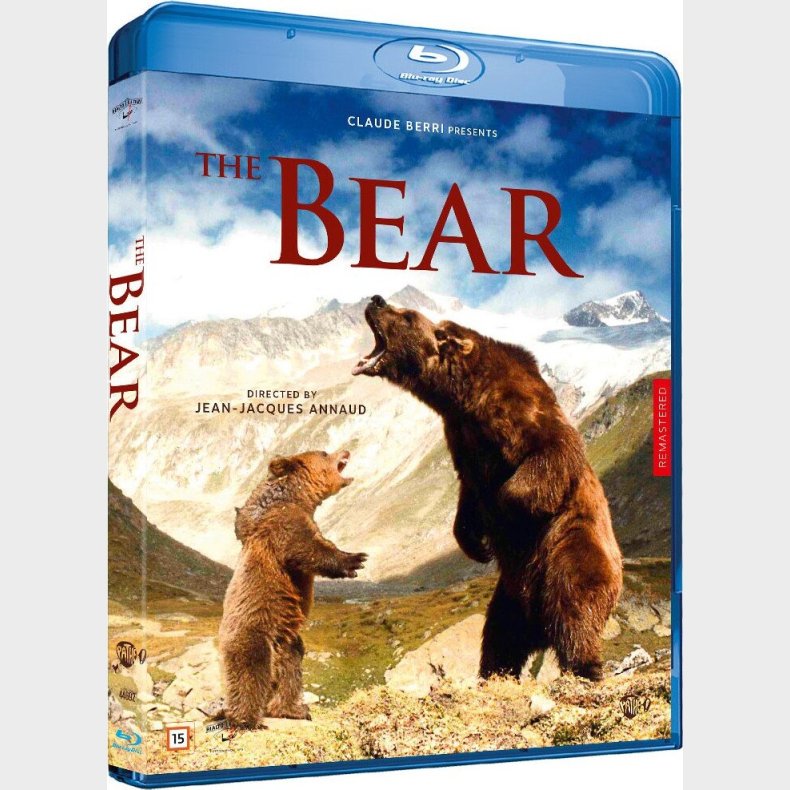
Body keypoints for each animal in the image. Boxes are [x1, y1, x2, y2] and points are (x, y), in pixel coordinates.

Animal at [219, 449, 367, 726]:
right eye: (324, 452)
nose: (346, 450)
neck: (299, 497)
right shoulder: (285, 523)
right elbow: (307, 548)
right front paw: (354, 559)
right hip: (253, 632)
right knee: (251, 671)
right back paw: (246, 720)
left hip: (286, 639)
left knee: (291, 669)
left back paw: (294, 710)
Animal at [352, 295, 622, 681]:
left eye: (406, 316)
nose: (375, 300)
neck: (462, 396)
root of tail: (538, 624)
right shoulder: (462, 440)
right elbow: (468, 495)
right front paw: (475, 543)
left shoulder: (521, 411)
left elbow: (550, 453)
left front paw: (505, 511)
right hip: (508, 596)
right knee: (500, 635)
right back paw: (493, 673)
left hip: (570, 551)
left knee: (574, 606)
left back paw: (585, 667)